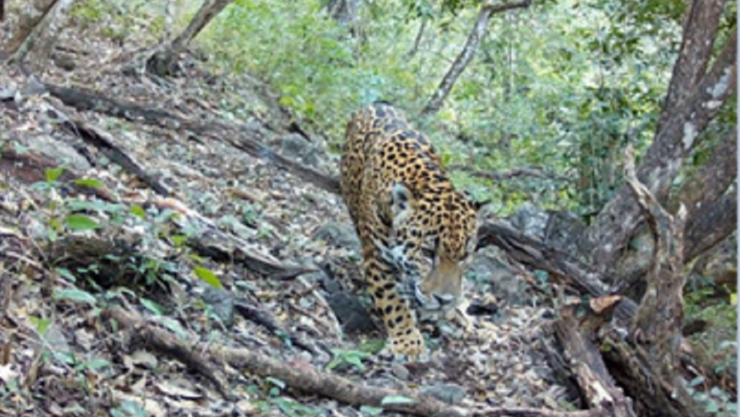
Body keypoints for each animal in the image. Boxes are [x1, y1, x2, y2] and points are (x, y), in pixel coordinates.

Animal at [339, 101, 488, 360]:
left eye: (464, 256)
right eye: (427, 252)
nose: (444, 300)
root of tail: (376, 103)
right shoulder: (377, 259)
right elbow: (393, 302)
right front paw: (408, 343)